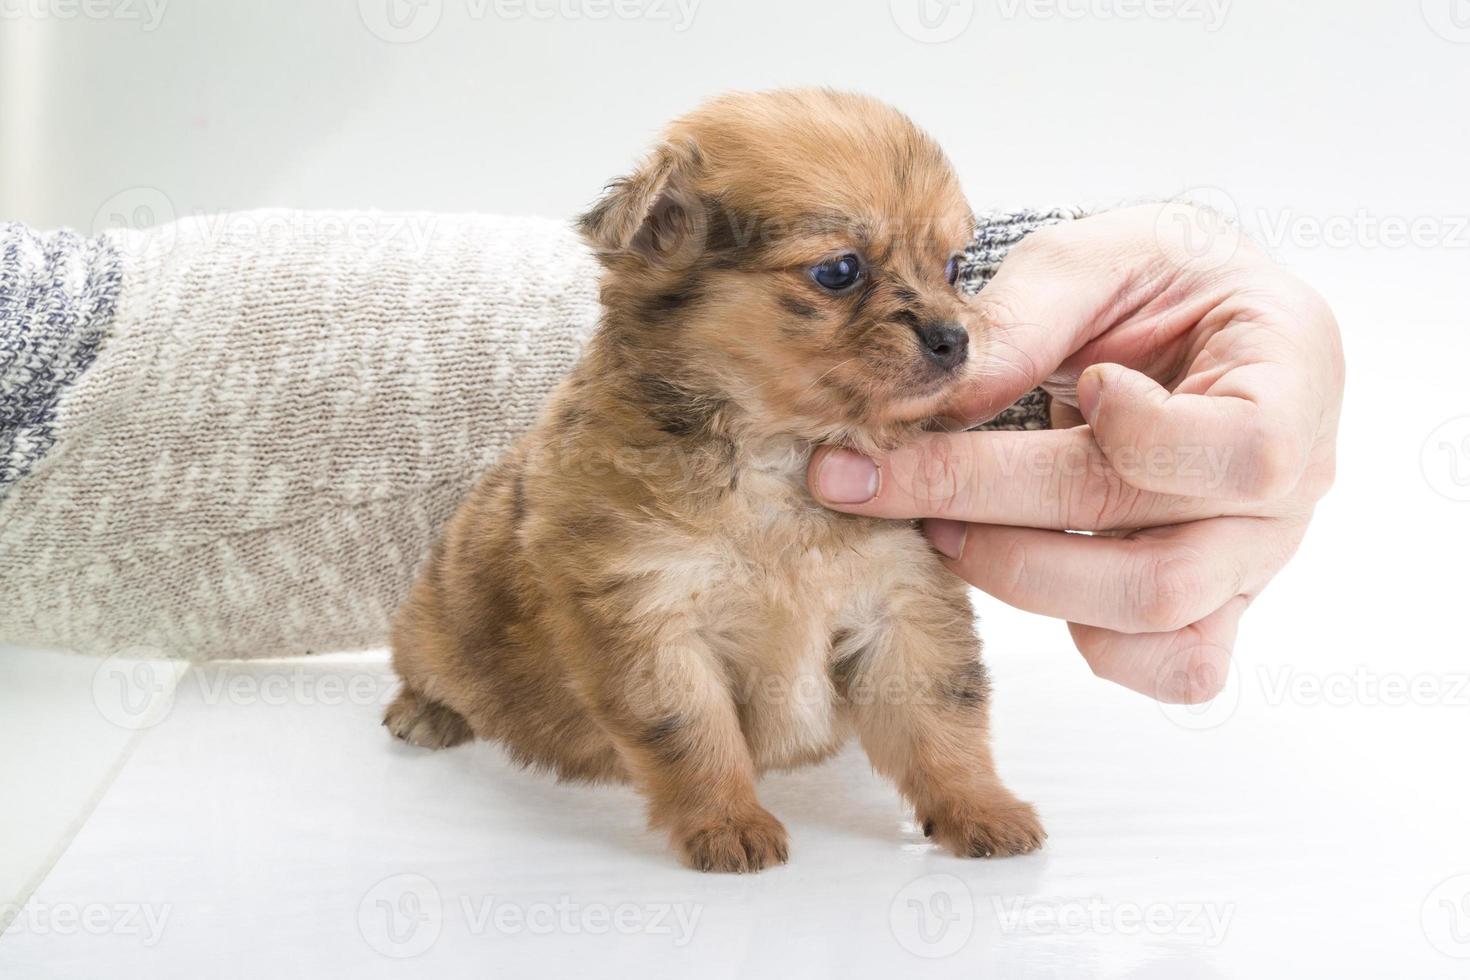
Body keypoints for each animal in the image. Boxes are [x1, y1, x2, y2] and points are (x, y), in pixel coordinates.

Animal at [385, 89, 1040, 875]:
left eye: (953, 267)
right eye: (839, 270)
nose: (954, 339)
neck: (777, 456)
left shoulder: (903, 605)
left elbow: (942, 721)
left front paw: (981, 808)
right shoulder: (651, 620)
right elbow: (694, 735)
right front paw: (727, 823)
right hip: (435, 623)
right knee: (425, 667)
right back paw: (425, 711)